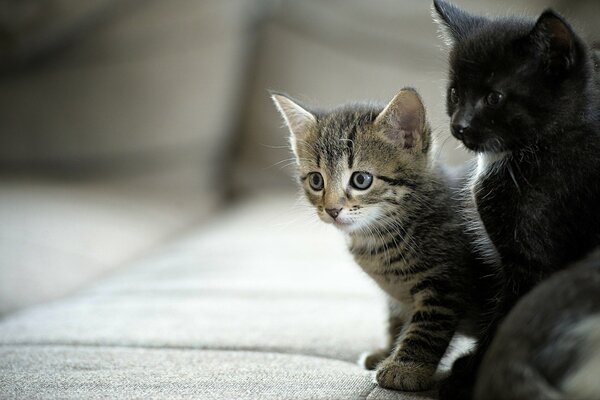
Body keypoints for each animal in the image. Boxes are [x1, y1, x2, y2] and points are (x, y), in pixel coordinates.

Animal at [272, 89, 482, 392]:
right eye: (316, 180)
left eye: (361, 179)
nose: (332, 210)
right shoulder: (398, 296)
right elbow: (396, 319)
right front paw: (387, 352)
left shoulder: (446, 282)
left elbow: (427, 327)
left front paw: (406, 368)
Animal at [434, 1, 600, 398]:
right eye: (455, 93)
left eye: (494, 98)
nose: (459, 125)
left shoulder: (535, 263)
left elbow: (505, 320)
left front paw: (467, 376)